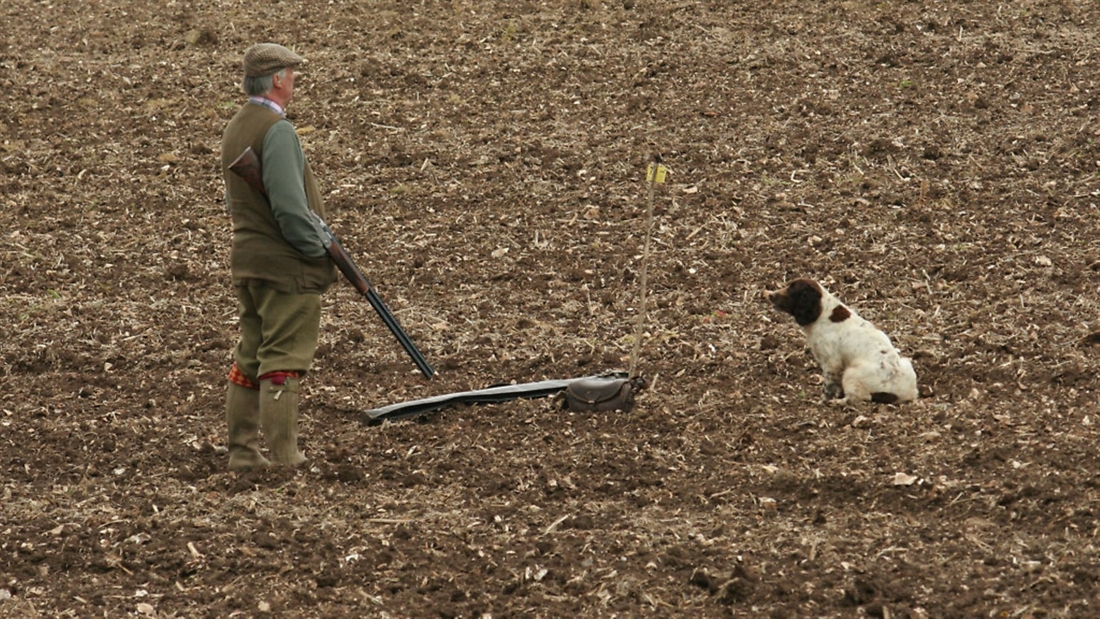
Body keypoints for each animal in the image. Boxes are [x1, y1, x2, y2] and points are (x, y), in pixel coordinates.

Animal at [770, 278, 915, 404]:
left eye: (792, 290)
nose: (770, 295)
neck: (822, 313)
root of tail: (902, 393)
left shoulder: (831, 362)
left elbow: (828, 386)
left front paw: (823, 402)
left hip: (851, 373)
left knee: (859, 398)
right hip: (906, 363)